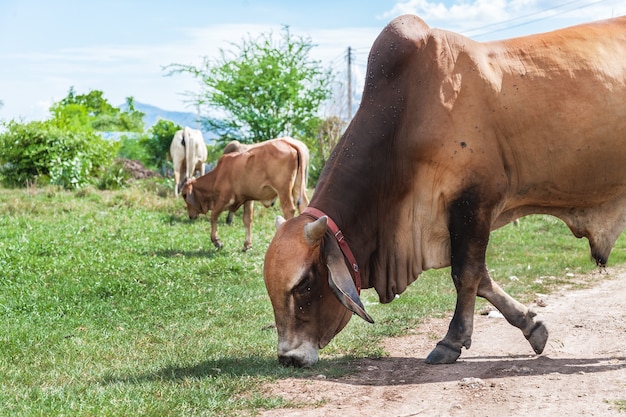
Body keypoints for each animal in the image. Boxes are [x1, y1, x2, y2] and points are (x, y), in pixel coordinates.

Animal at [180, 136, 308, 250]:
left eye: (184, 195)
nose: (190, 216)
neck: (217, 175)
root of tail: (289, 143)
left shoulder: (225, 197)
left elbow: (214, 215)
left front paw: (217, 241)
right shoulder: (247, 198)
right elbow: (247, 219)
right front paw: (247, 244)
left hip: (283, 190)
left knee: (289, 210)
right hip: (298, 187)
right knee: (304, 206)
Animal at [260, 15, 624, 368]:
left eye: (304, 284)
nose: (289, 357)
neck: (405, 112)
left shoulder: (472, 201)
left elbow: (466, 274)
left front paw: (450, 342)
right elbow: (483, 280)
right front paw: (532, 326)